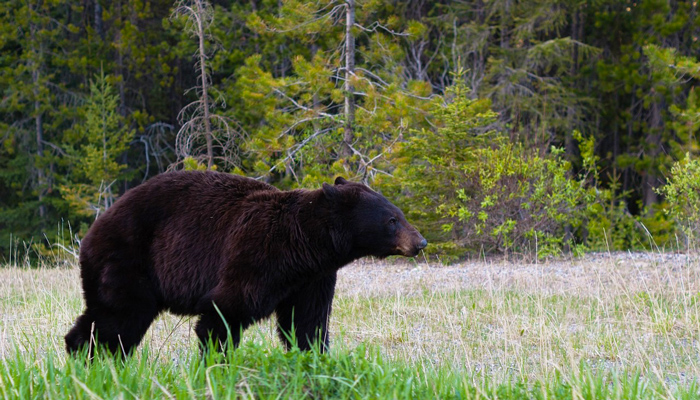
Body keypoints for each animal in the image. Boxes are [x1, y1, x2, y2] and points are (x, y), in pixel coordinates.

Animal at [65, 172, 426, 356]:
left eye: (399, 214)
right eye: (392, 220)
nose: (420, 242)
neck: (304, 245)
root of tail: (92, 231)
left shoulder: (314, 278)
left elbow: (307, 322)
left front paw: (314, 359)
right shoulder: (255, 254)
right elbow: (225, 312)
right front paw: (216, 363)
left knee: (105, 319)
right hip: (128, 260)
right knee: (119, 317)